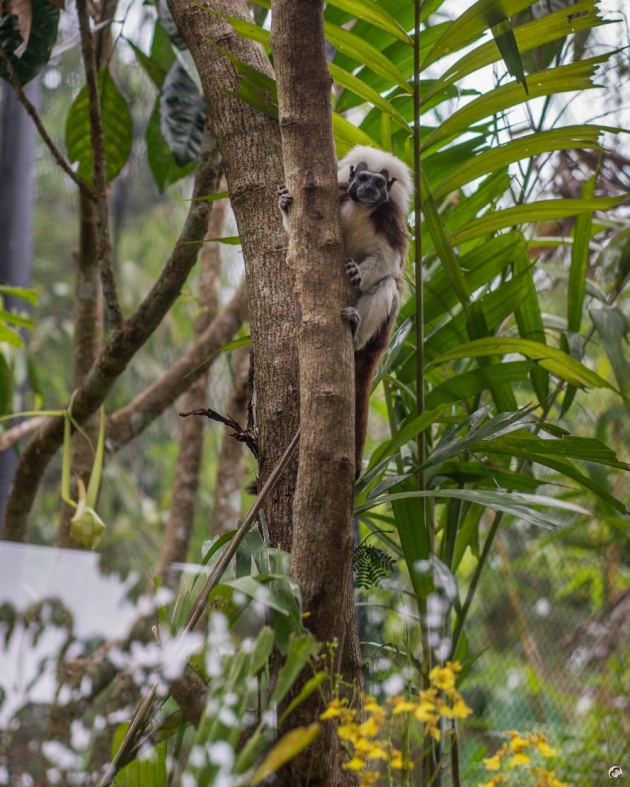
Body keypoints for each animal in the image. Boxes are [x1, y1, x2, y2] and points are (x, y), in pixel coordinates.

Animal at [278, 146, 412, 480]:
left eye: (379, 183)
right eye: (362, 178)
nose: (367, 191)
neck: (362, 207)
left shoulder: (390, 221)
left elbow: (389, 263)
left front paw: (358, 273)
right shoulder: (339, 197)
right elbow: (295, 239)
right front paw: (285, 203)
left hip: (381, 330)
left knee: (386, 287)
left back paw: (355, 332)